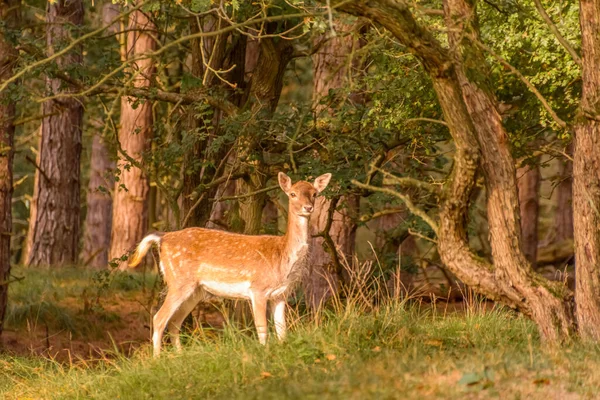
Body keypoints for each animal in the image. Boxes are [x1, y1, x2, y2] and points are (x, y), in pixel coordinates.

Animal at [129, 172, 332, 356]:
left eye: (314, 193)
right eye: (292, 194)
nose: (308, 207)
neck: (282, 256)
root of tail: (162, 238)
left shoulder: (281, 294)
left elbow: (282, 332)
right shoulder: (257, 289)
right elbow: (262, 330)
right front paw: (264, 355)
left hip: (196, 290)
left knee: (174, 322)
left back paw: (178, 356)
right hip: (179, 281)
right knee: (159, 318)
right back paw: (157, 359)